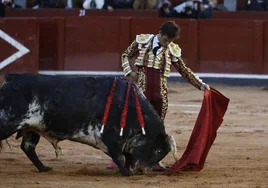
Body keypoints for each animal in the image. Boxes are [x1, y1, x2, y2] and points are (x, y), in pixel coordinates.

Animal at [0, 73, 178, 176]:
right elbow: (119, 156)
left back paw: (44, 168)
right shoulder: (109, 136)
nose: (142, 170)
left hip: (32, 127)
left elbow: (126, 156)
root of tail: (12, 78)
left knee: (28, 147)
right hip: (8, 122)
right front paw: (127, 174)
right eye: (157, 150)